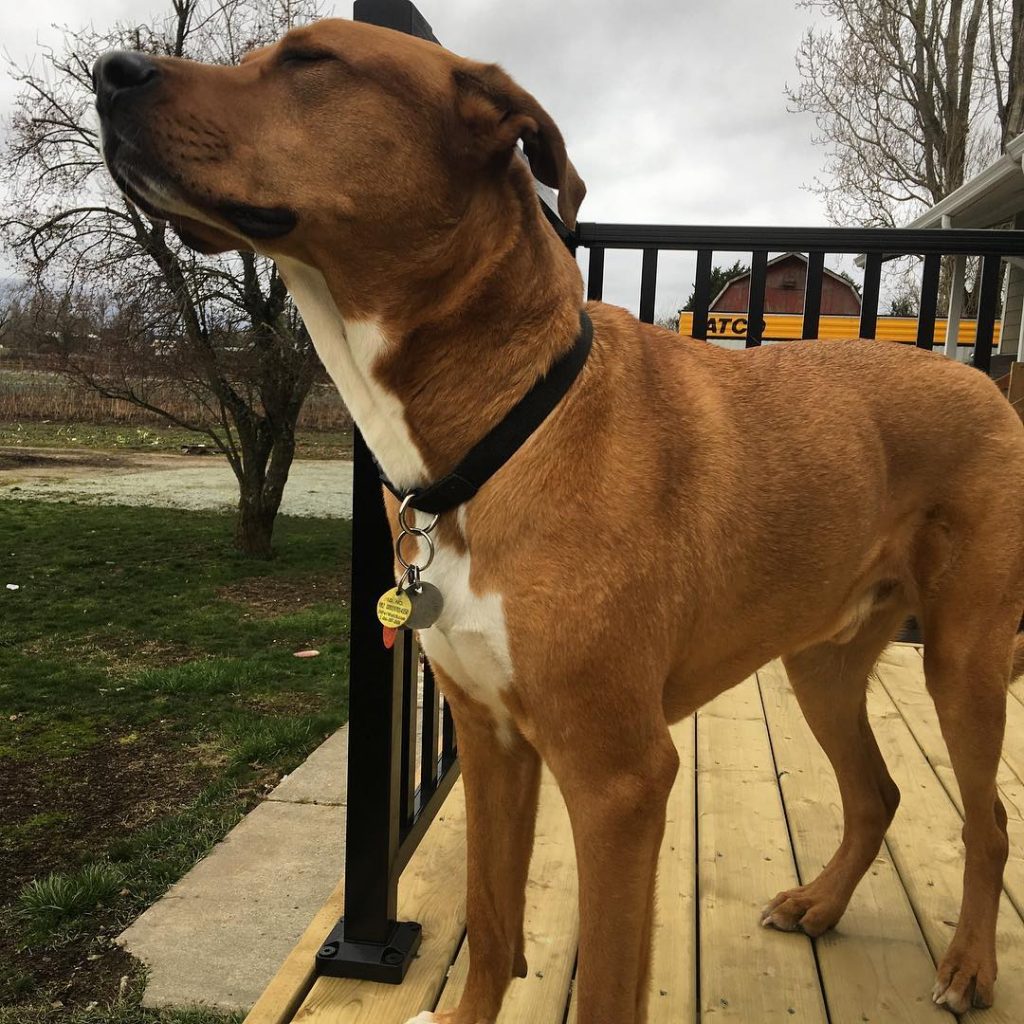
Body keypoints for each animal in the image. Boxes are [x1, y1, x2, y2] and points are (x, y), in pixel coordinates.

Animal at [94, 18, 1024, 1024]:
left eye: (312, 60)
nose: (108, 71)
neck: (505, 422)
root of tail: (985, 381)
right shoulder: (493, 740)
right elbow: (491, 927)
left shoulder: (618, 781)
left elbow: (607, 984)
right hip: (821, 661)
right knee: (876, 794)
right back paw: (820, 902)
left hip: (962, 659)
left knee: (989, 818)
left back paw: (969, 964)